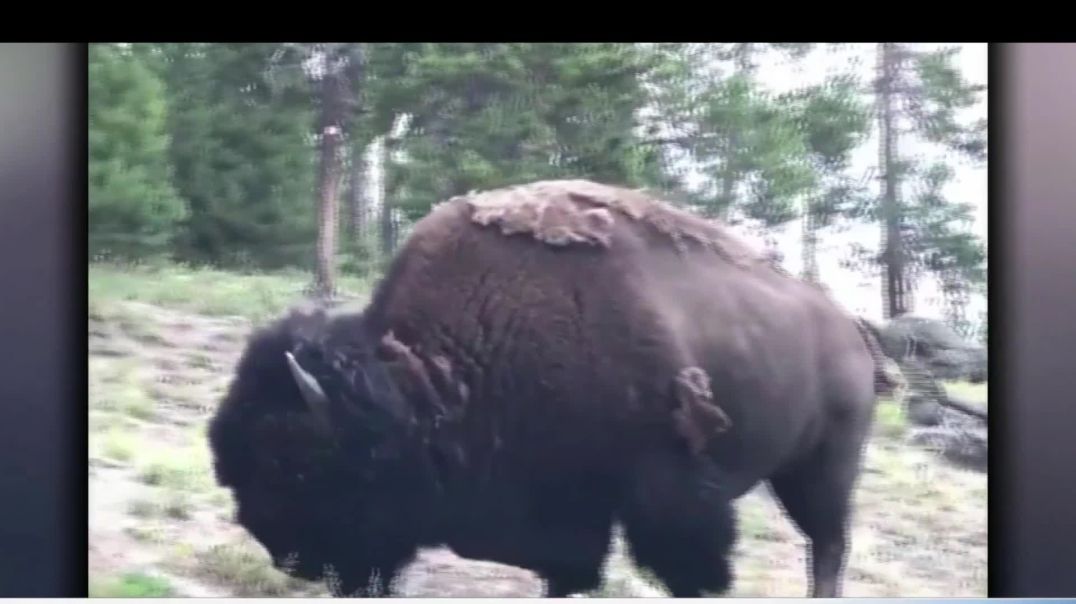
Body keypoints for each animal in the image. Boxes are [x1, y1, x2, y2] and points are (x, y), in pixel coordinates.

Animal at [205, 177, 895, 594]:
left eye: (291, 462)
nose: (286, 554)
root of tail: (853, 330)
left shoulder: (667, 490)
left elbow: (689, 567)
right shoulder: (565, 508)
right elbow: (568, 569)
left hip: (822, 469)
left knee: (828, 544)